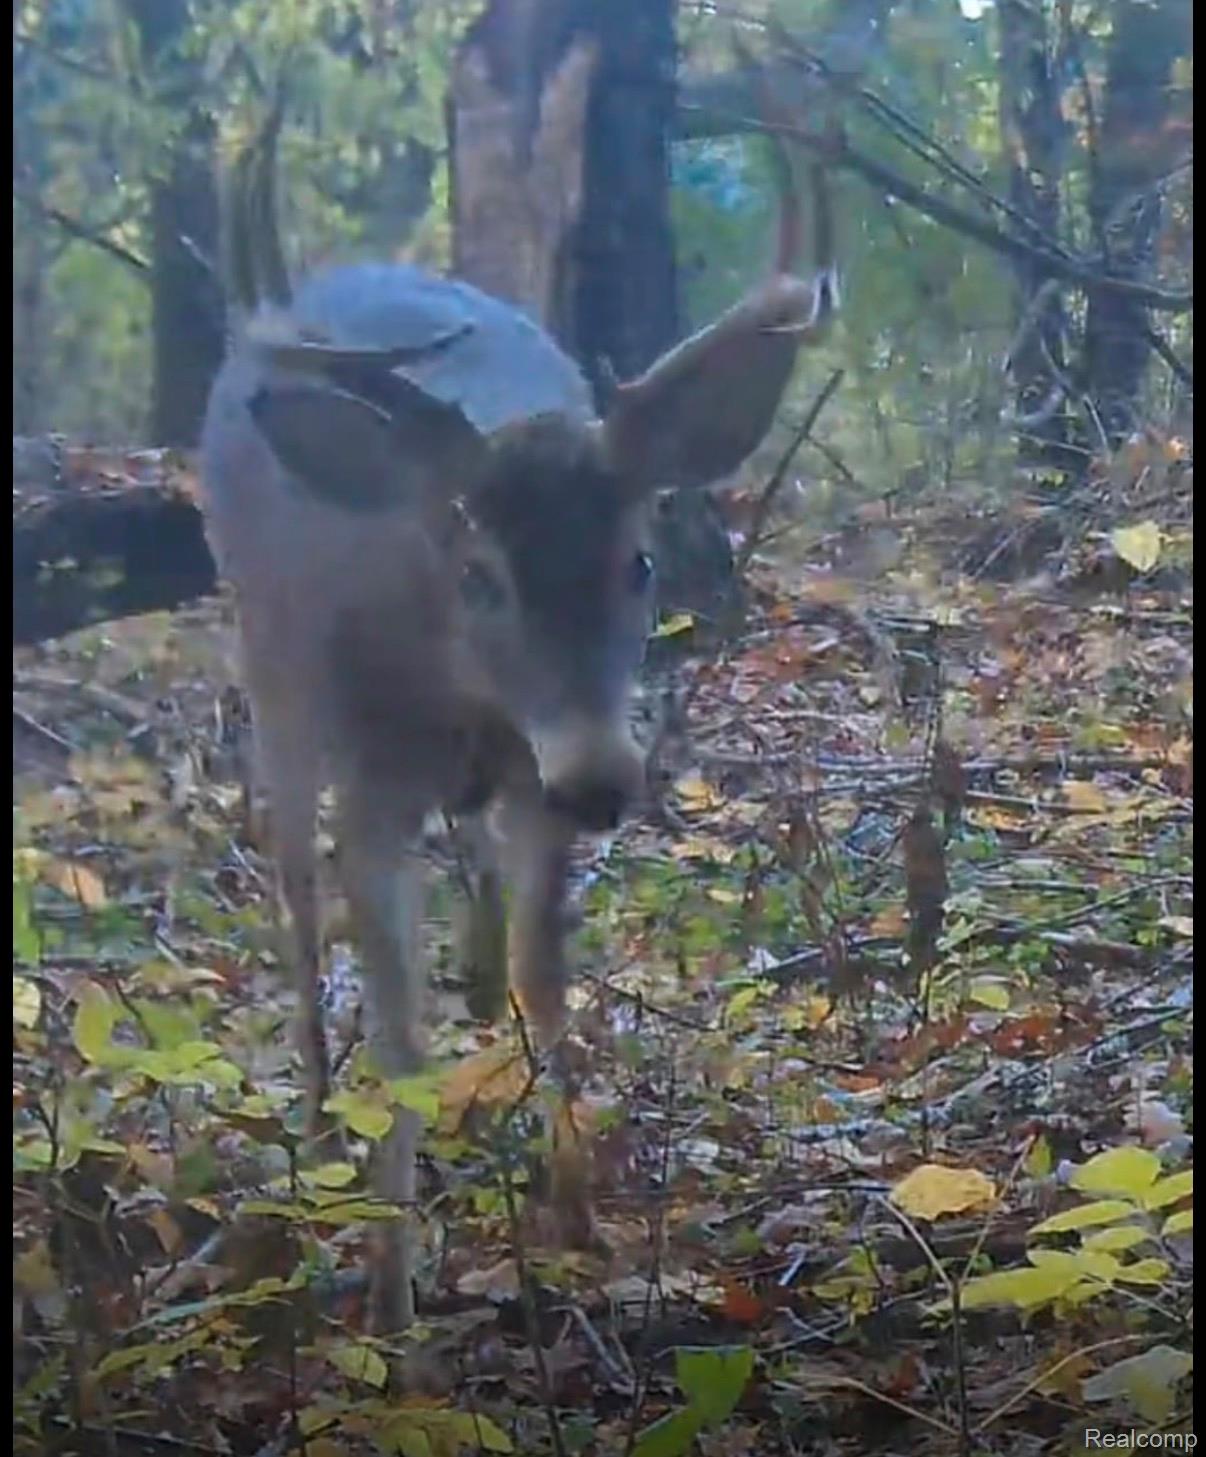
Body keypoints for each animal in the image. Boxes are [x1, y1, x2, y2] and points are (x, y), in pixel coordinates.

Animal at [198, 91, 837, 1332]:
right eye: (478, 572)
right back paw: (316, 1122)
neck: (469, 698)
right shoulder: (374, 776)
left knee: (478, 912)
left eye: (639, 560)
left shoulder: (532, 789)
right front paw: (391, 1297)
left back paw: (485, 1021)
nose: (600, 778)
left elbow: (549, 967)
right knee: (290, 890)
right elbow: (396, 1030)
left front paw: (576, 1213)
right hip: (271, 671)